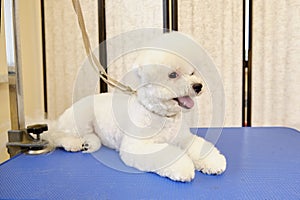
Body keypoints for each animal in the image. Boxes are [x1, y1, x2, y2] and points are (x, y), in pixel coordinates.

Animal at [45, 48, 226, 183]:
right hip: (79, 118)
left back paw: (87, 143)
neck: (161, 116)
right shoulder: (138, 146)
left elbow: (198, 146)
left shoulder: (182, 138)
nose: (198, 86)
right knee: (54, 135)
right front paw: (184, 168)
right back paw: (73, 143)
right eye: (173, 75)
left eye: (192, 73)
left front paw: (213, 162)